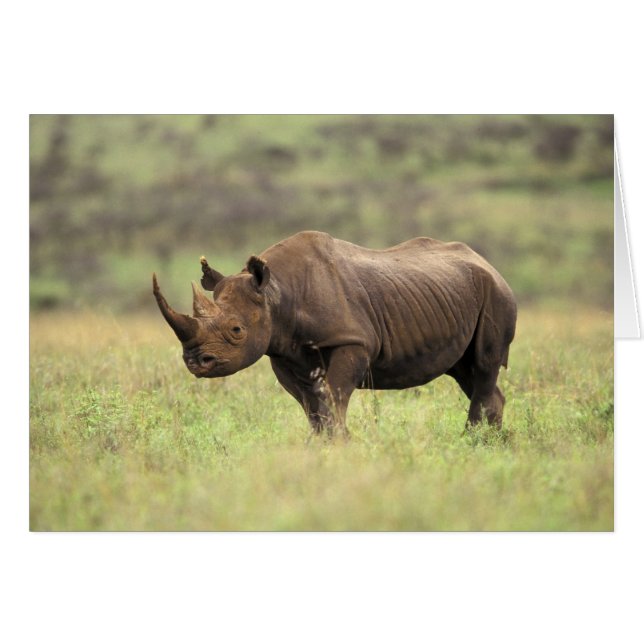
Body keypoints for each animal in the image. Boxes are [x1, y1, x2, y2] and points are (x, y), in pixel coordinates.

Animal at [153, 231, 517, 437]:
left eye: (236, 330)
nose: (195, 362)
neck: (276, 292)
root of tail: (490, 265)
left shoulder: (352, 340)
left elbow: (333, 395)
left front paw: (341, 444)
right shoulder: (282, 351)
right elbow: (310, 405)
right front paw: (321, 445)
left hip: (497, 294)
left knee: (484, 365)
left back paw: (471, 441)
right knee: (465, 371)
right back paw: (490, 444)